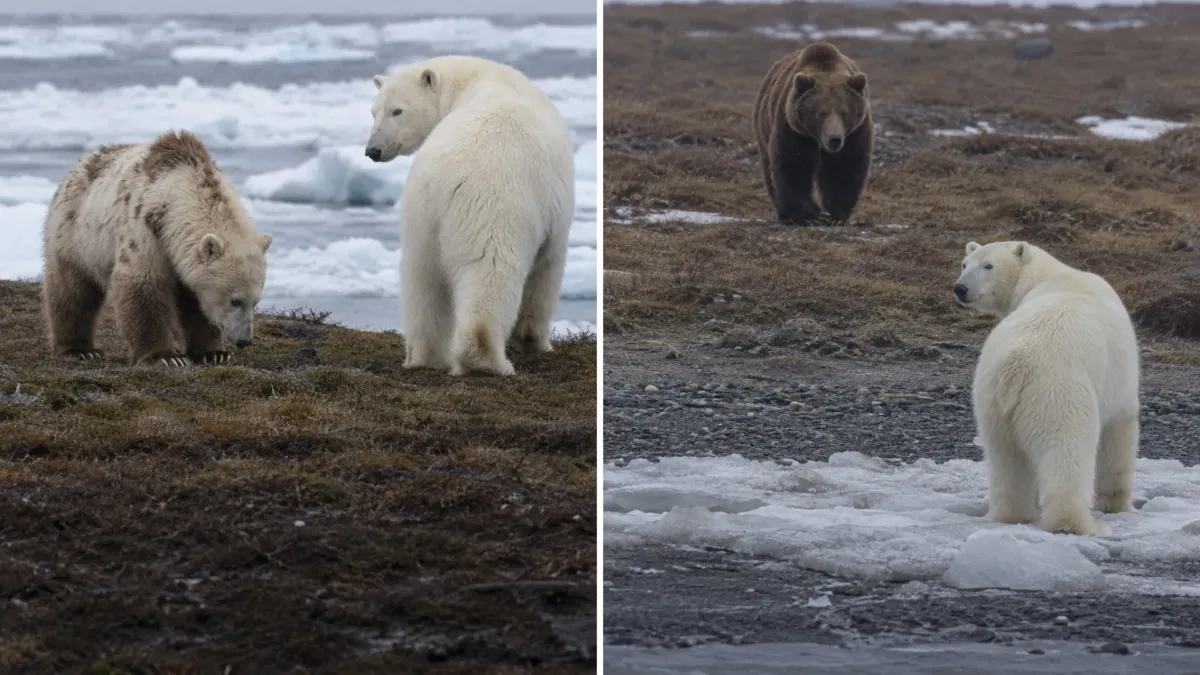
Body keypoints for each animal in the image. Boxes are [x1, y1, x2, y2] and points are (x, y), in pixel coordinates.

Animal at [42, 130, 273, 366]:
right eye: (235, 300)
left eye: (256, 301)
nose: (244, 340)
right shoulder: (147, 228)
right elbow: (143, 284)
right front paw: (166, 356)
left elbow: (195, 303)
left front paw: (214, 353)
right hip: (76, 234)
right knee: (74, 290)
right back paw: (79, 349)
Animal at [365, 55, 574, 377]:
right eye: (375, 112)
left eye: (396, 111)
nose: (372, 150)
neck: (471, 81)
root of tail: (449, 178)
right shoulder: (553, 215)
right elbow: (546, 271)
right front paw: (538, 343)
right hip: (497, 206)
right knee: (489, 270)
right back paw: (486, 358)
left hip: (422, 212)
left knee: (421, 278)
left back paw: (427, 357)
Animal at [752, 42, 873, 226]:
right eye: (821, 113)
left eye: (844, 112)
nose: (834, 139)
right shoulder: (795, 131)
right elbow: (794, 166)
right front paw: (814, 216)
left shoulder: (855, 134)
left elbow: (844, 168)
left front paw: (835, 215)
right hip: (764, 128)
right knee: (769, 173)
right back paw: (784, 216)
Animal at [955, 240, 1140, 536]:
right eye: (965, 264)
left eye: (987, 265)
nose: (960, 288)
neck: (1047, 276)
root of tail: (1016, 367)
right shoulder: (1119, 382)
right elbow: (1119, 430)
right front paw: (1116, 504)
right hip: (1058, 393)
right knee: (1066, 452)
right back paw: (1077, 523)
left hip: (990, 400)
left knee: (1005, 460)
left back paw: (1012, 514)